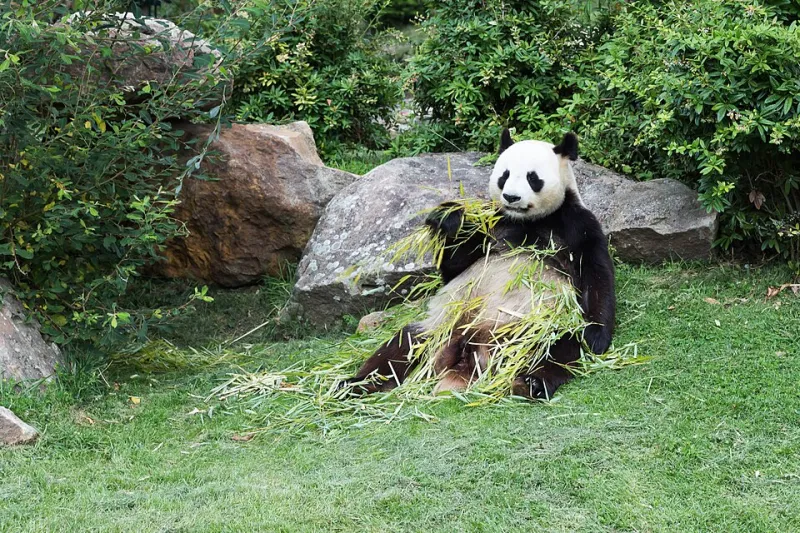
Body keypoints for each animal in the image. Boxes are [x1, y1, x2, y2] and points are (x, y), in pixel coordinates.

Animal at [342, 130, 616, 399]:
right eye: (504, 176)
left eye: (533, 178)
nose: (511, 197)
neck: (527, 220)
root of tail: (471, 351)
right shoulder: (491, 224)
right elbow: (455, 266)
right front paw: (448, 217)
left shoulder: (576, 225)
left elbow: (596, 276)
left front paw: (595, 336)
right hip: (441, 325)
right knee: (402, 345)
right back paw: (355, 385)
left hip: (537, 328)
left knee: (558, 349)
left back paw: (531, 383)